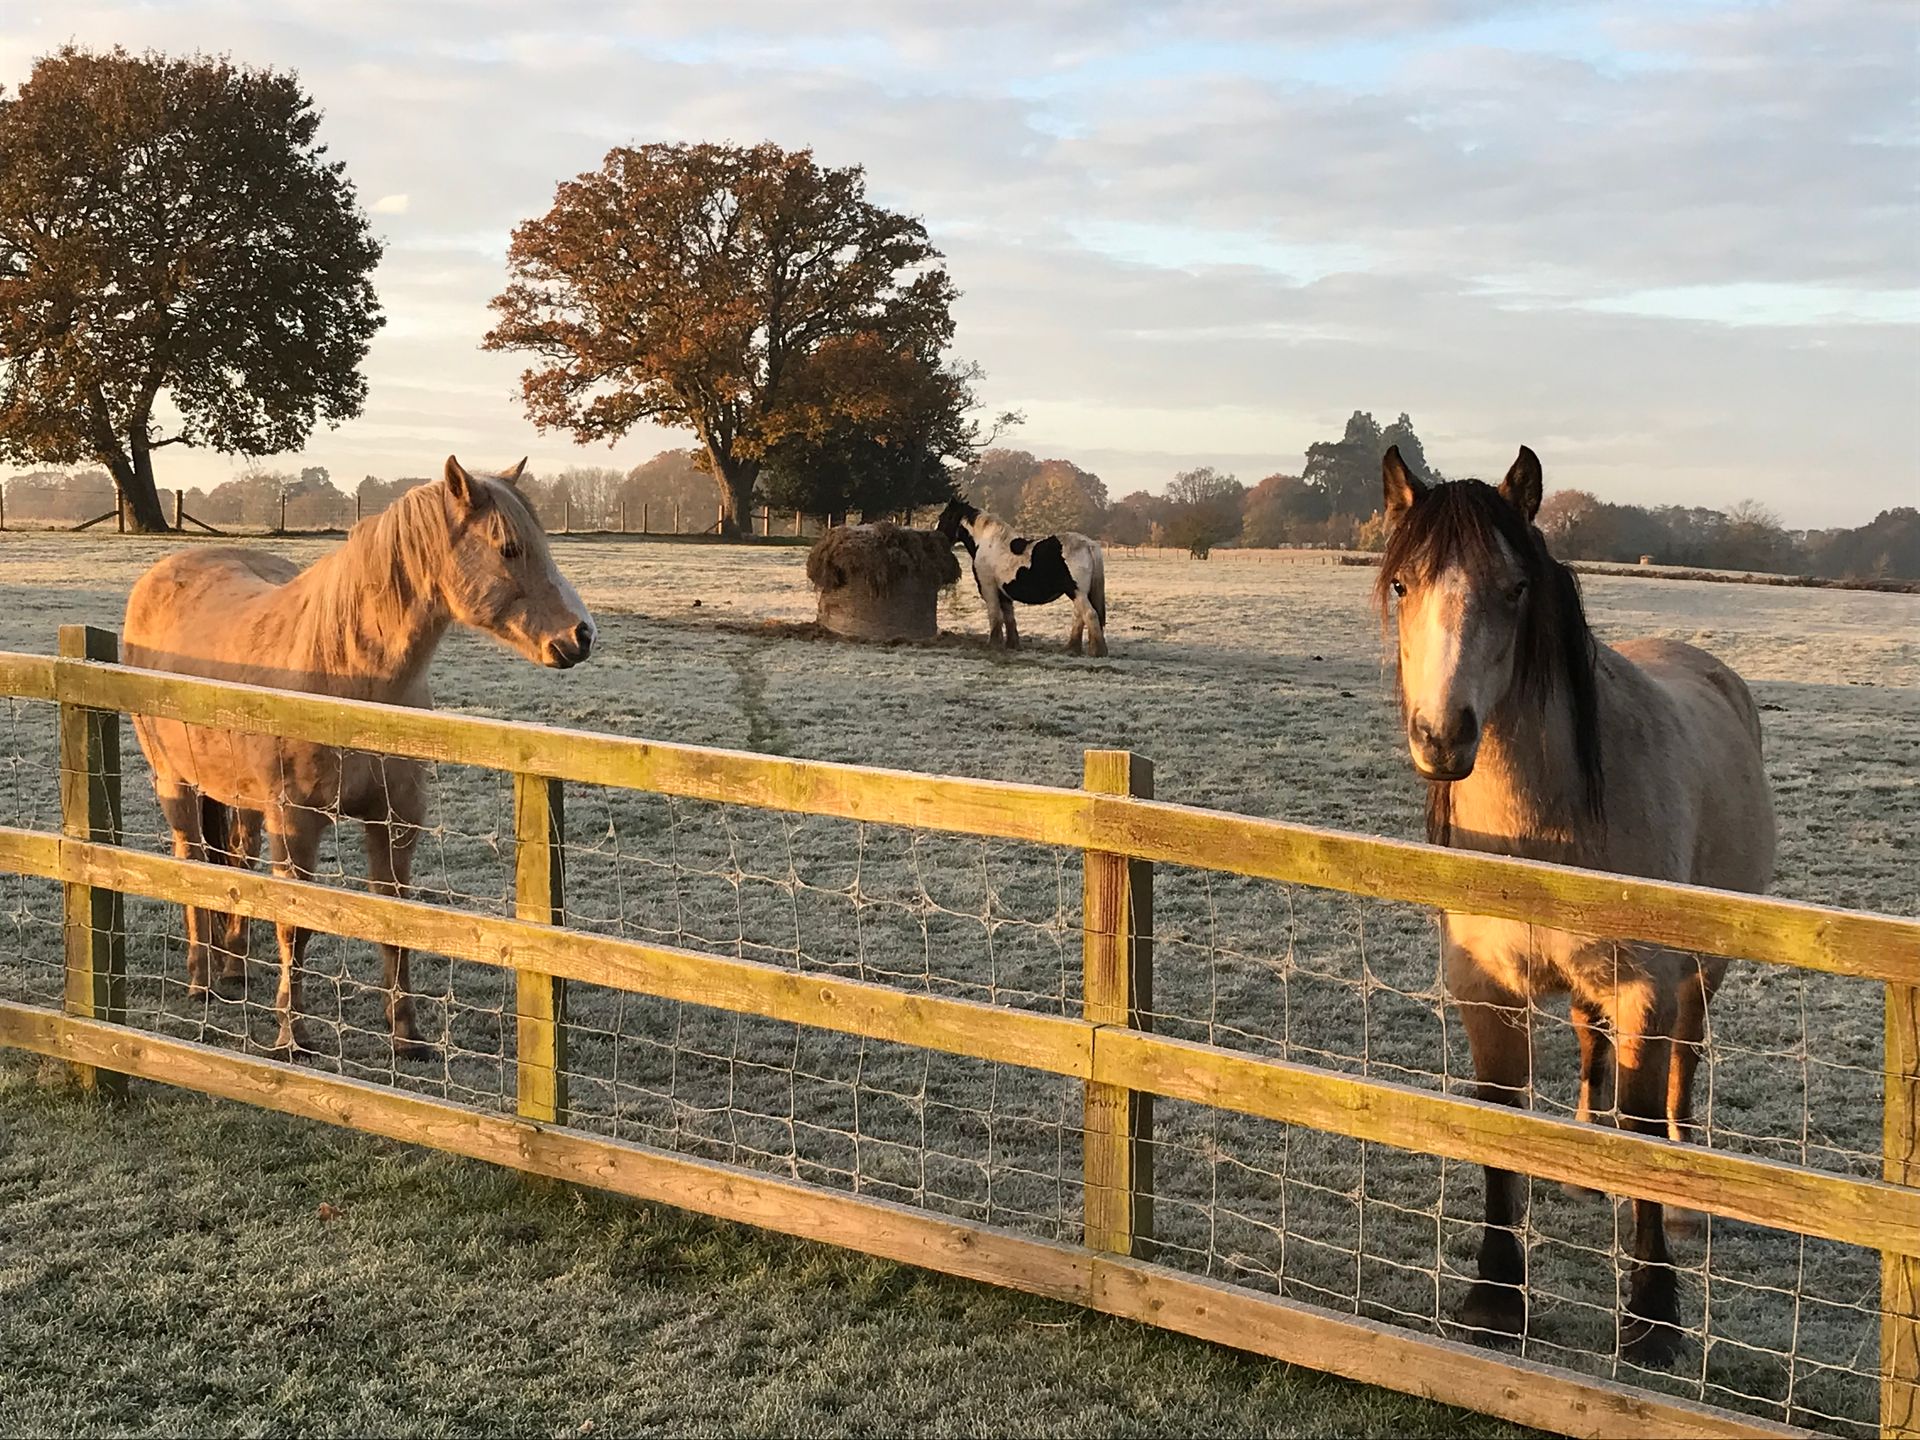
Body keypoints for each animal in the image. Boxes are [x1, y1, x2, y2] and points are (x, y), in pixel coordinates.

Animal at [123, 457, 595, 1057]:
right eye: (509, 548)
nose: (581, 635)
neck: (347, 675)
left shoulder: (395, 820)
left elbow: (393, 917)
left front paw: (407, 1035)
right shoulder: (297, 823)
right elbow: (296, 925)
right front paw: (292, 1035)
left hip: (242, 797)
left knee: (238, 860)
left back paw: (233, 967)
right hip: (175, 783)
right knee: (191, 863)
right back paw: (201, 979)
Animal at [935, 500, 1108, 656]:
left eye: (944, 517)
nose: (937, 537)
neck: (987, 543)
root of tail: (1089, 545)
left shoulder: (989, 588)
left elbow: (995, 615)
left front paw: (993, 644)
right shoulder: (1004, 593)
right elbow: (1009, 617)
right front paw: (1012, 644)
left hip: (1076, 592)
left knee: (1090, 615)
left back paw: (1097, 651)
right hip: (1079, 594)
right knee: (1079, 617)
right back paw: (1072, 649)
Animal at [1376, 444, 1775, 1365]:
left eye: (1515, 588)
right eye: (1404, 584)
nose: (1444, 737)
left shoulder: (1648, 986)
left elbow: (1643, 1133)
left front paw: (1654, 1314)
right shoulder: (1485, 988)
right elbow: (1500, 1121)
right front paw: (1496, 1297)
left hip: (1700, 976)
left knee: (1682, 1072)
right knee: (1591, 1046)